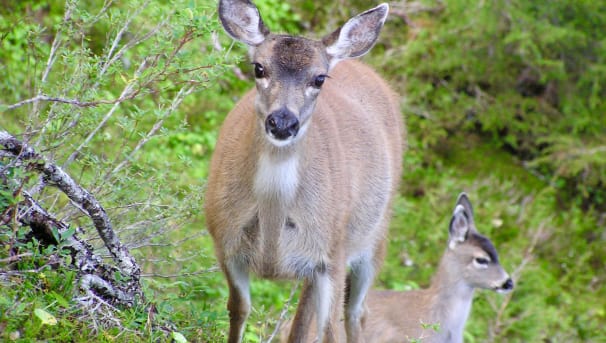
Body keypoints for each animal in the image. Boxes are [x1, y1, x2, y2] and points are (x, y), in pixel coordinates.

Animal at [207, 1, 406, 342]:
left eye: (319, 79)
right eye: (259, 68)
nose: (282, 122)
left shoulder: (333, 255)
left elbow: (330, 330)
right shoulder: (225, 243)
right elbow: (238, 310)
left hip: (372, 235)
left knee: (356, 312)